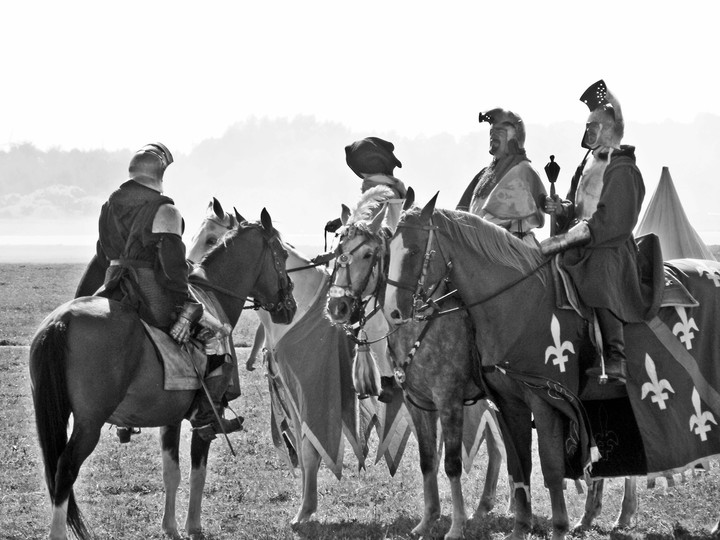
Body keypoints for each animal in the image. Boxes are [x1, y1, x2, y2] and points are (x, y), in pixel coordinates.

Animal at [29, 209, 296, 540]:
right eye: (282, 255)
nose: (289, 307)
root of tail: (61, 321)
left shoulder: (170, 419)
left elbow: (172, 473)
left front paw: (169, 527)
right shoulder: (205, 419)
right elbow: (197, 472)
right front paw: (193, 526)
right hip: (89, 424)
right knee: (65, 468)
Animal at [186, 198, 416, 528]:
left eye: (211, 239)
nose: (191, 281)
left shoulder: (312, 392)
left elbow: (310, 448)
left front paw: (305, 511)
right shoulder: (291, 395)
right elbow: (305, 447)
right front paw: (306, 506)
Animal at [326, 188, 506, 536]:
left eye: (368, 254)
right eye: (337, 251)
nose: (337, 307)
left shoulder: (449, 402)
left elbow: (452, 463)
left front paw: (456, 526)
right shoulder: (417, 403)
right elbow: (427, 460)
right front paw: (428, 519)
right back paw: (486, 506)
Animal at [386, 195, 720, 540]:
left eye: (413, 250)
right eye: (388, 248)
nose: (394, 312)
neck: (516, 302)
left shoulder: (536, 400)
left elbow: (549, 466)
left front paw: (554, 527)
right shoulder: (503, 404)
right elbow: (515, 465)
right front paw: (519, 527)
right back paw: (596, 517)